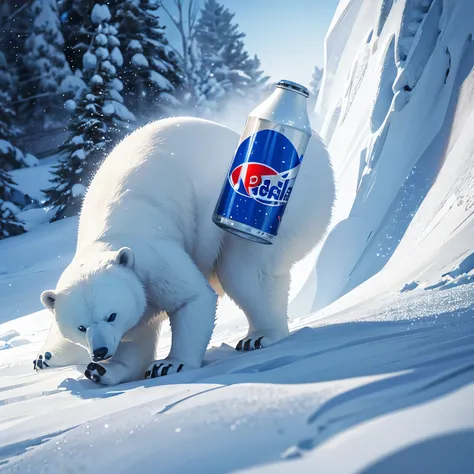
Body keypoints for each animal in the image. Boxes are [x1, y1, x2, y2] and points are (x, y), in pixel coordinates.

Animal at [36, 117, 334, 386]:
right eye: (81, 326)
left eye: (111, 315)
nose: (100, 352)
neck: (105, 236)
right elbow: (138, 333)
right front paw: (96, 369)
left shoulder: (153, 258)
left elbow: (192, 297)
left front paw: (168, 364)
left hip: (271, 214)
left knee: (244, 272)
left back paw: (260, 336)